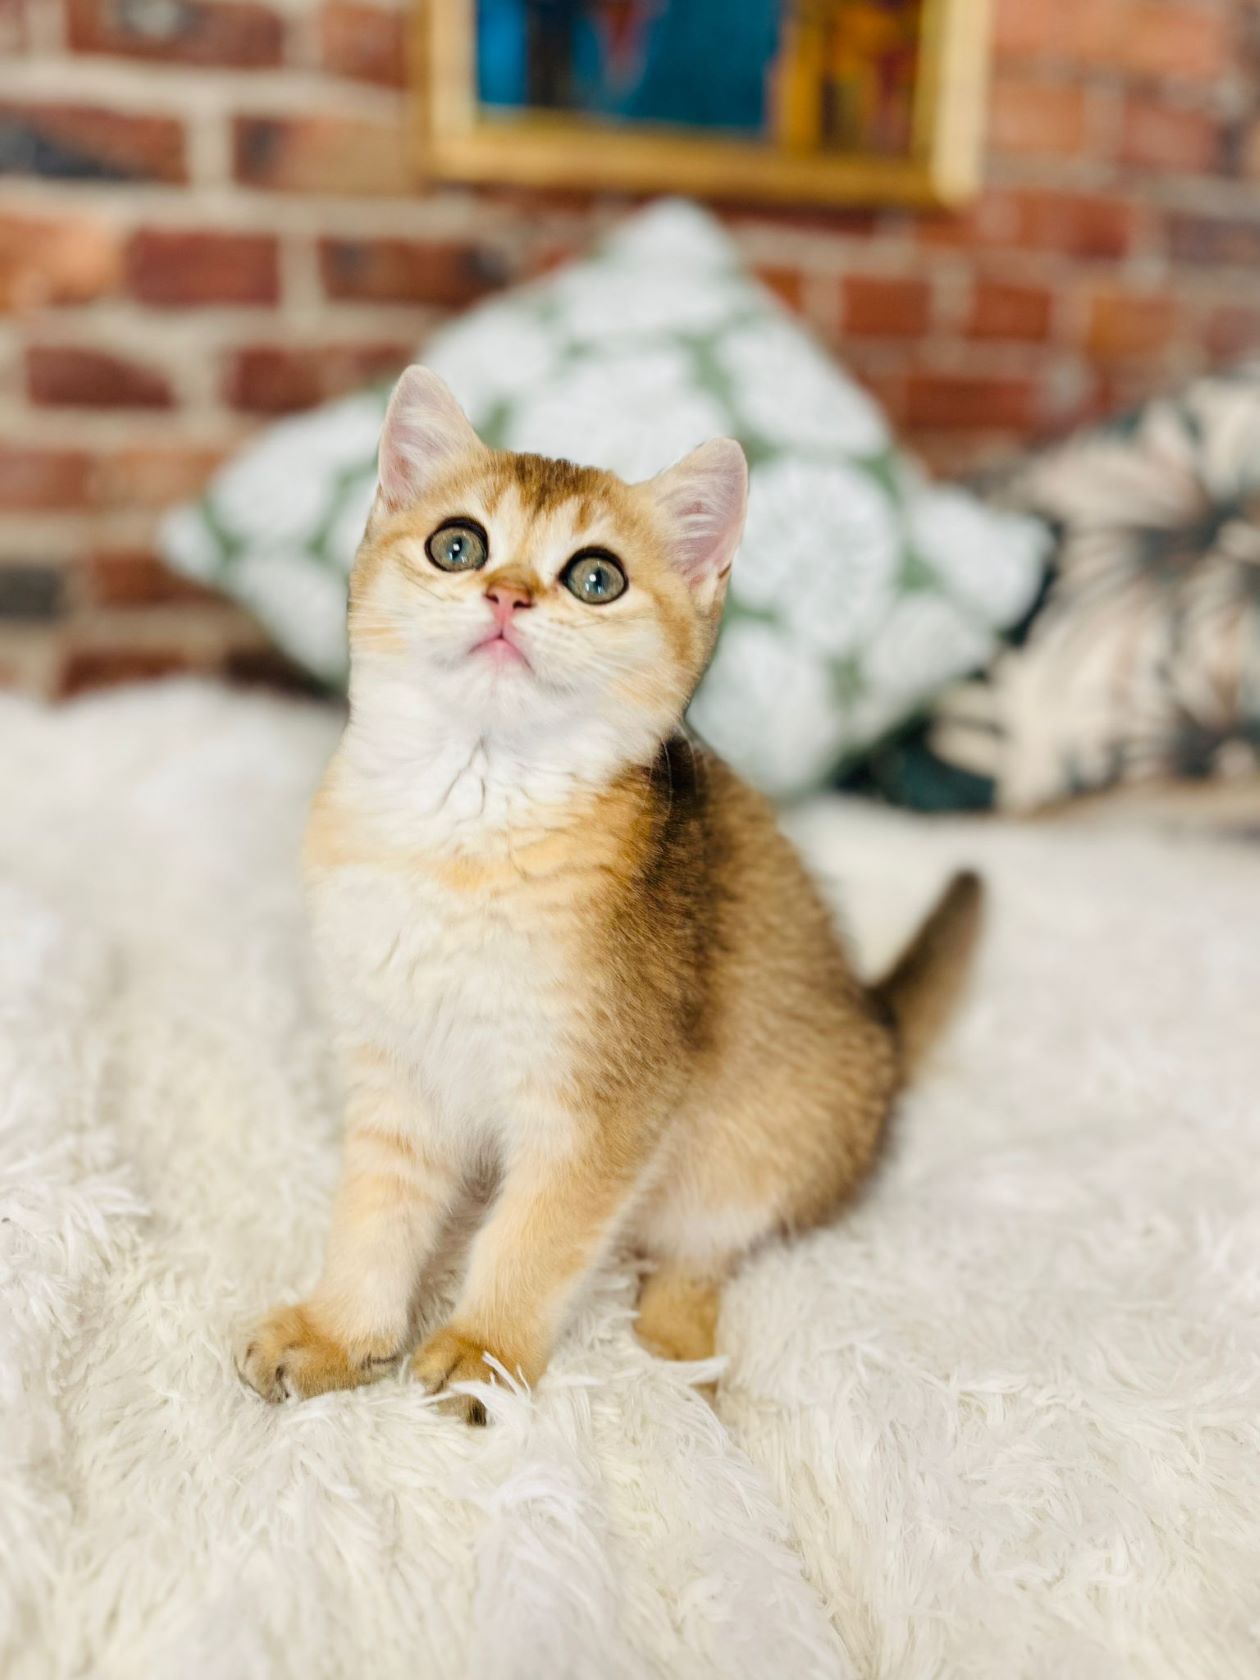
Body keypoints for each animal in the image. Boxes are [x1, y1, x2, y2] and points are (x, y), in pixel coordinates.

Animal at [236, 365, 981, 1421]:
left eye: (597, 578)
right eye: (457, 546)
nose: (507, 594)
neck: (467, 825)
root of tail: (877, 1021)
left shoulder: (607, 1101)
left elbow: (538, 1237)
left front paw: (482, 1352)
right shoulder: (394, 1067)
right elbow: (376, 1214)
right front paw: (340, 1334)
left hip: (755, 1146)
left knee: (702, 1255)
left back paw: (676, 1353)